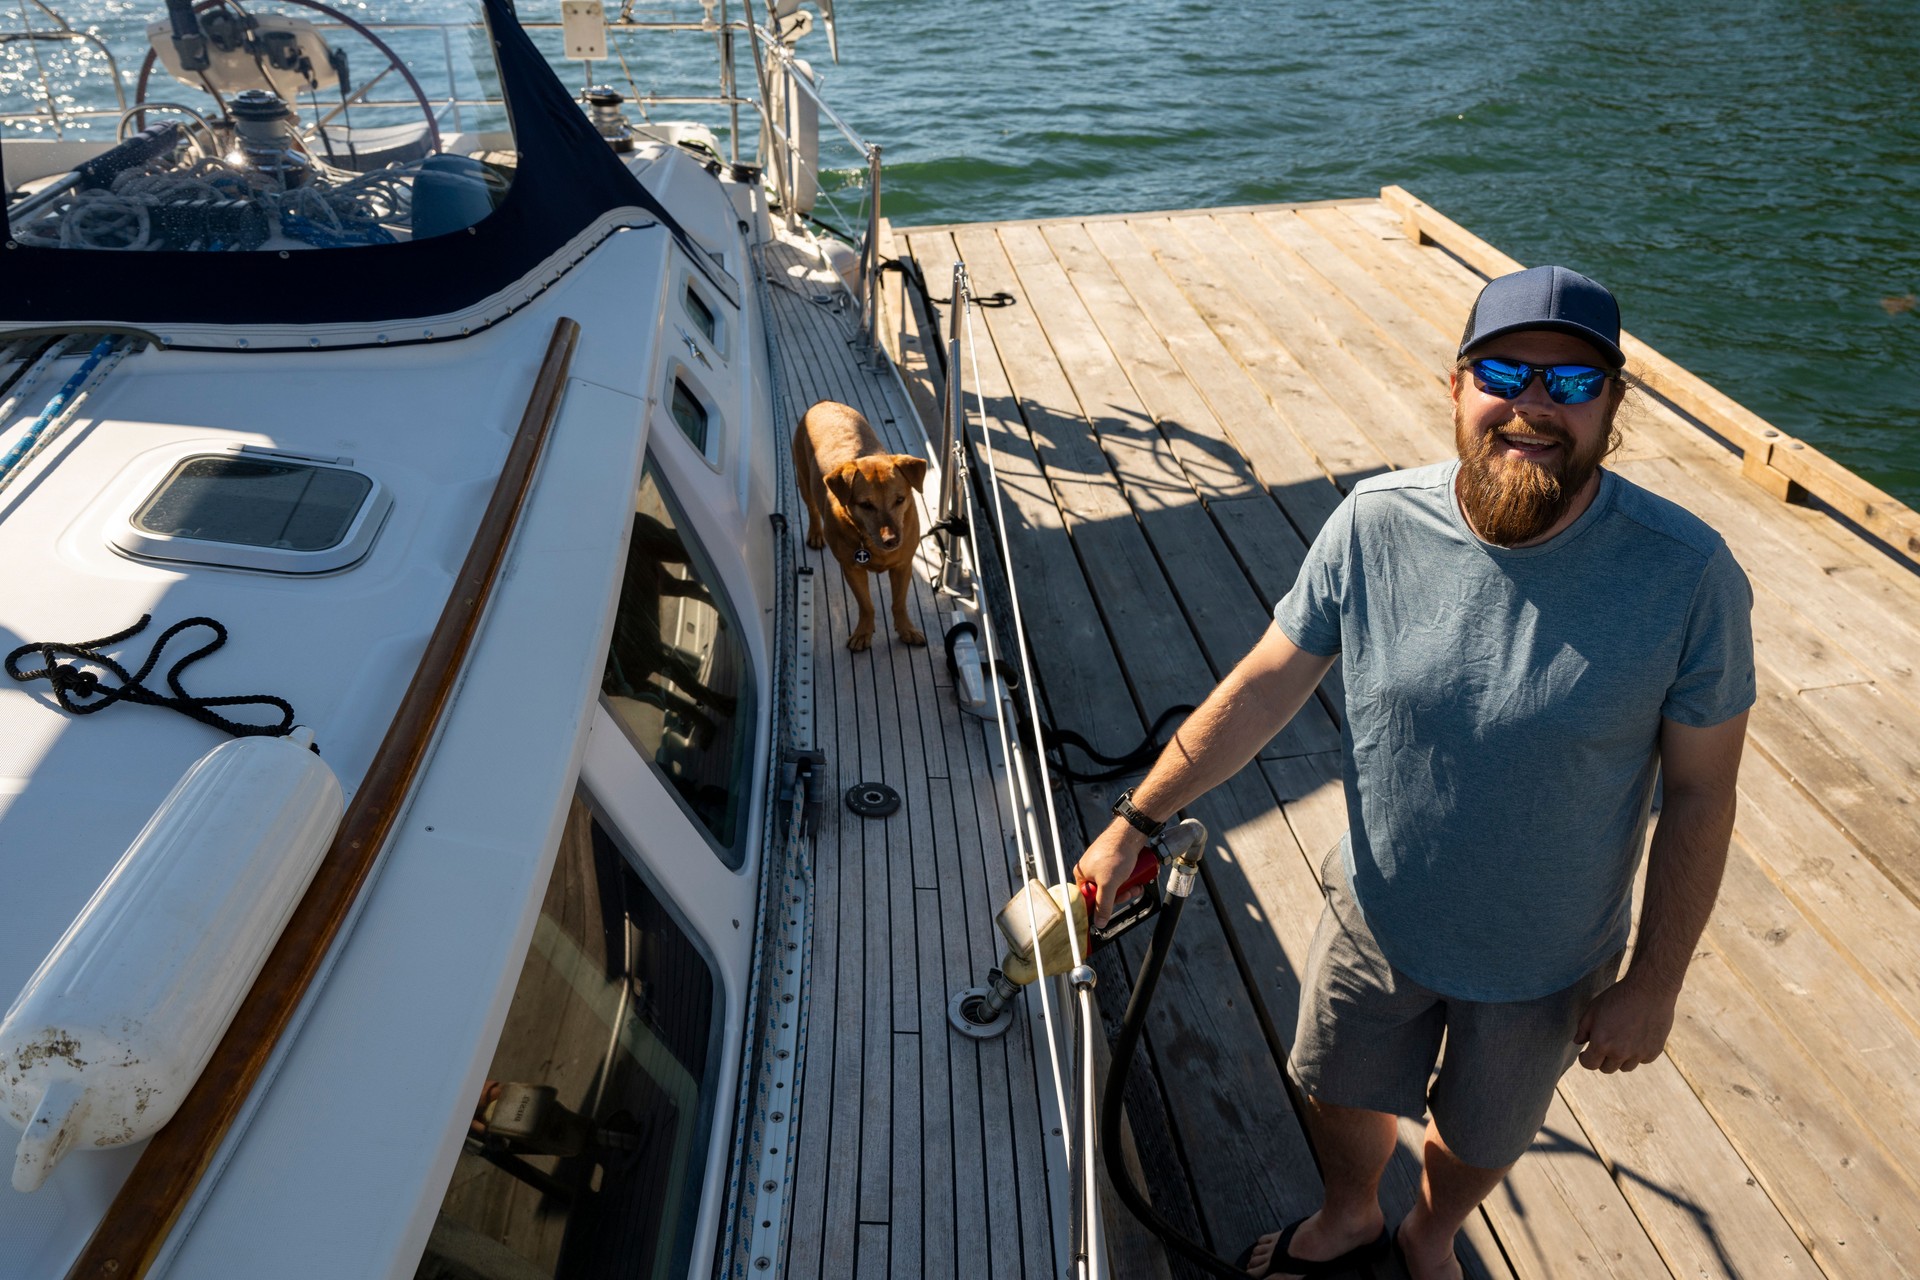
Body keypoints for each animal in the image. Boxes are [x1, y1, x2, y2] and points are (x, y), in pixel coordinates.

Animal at [791, 401, 933, 656]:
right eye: (866, 505)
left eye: (900, 499)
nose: (892, 540)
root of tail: (823, 403)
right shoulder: (852, 568)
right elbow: (866, 605)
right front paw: (863, 634)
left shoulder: (903, 566)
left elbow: (899, 603)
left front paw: (906, 630)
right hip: (803, 477)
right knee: (812, 508)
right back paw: (815, 533)